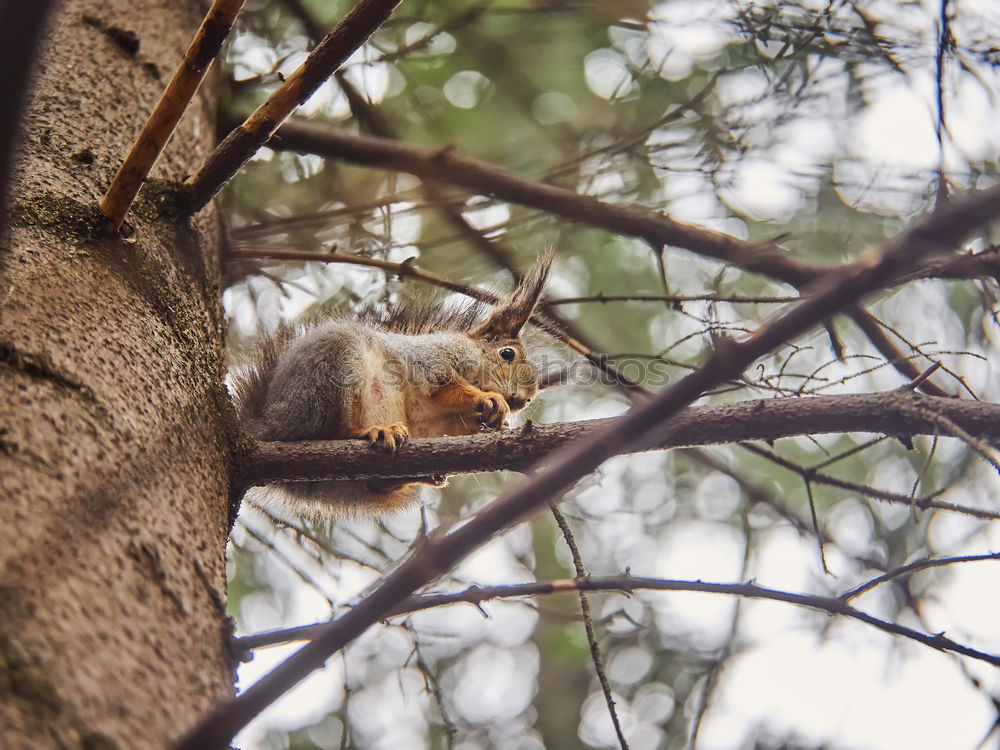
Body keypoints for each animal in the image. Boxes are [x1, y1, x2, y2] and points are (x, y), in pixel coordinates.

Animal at [232, 253, 556, 516]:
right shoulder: (432, 362)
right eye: (507, 354)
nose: (521, 400)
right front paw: (487, 400)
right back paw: (372, 432)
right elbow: (447, 389)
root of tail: (276, 423)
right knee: (337, 430)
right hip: (335, 371)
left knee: (376, 485)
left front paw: (498, 423)